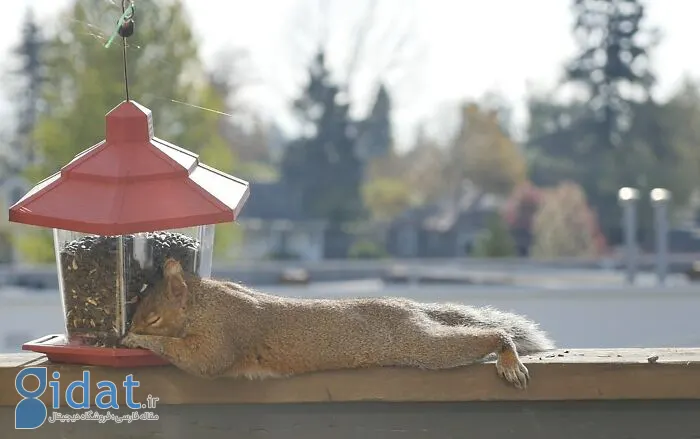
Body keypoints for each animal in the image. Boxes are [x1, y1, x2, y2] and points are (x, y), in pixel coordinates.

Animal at [123, 260, 556, 390]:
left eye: (155, 316)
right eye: (137, 299)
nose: (129, 327)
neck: (204, 302)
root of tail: (411, 307)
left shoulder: (225, 332)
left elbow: (203, 362)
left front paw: (138, 340)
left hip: (420, 344)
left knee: (471, 341)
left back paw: (508, 357)